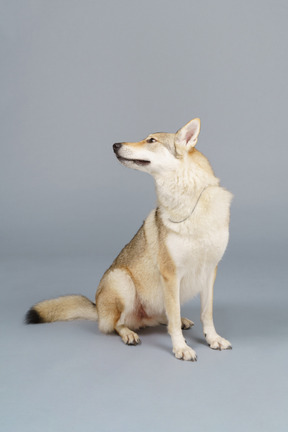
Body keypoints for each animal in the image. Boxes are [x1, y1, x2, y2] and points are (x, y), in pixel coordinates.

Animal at [25, 118, 233, 362]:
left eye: (151, 140)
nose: (115, 144)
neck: (189, 205)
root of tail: (98, 309)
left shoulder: (210, 271)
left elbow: (205, 313)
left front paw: (213, 339)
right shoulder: (170, 274)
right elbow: (172, 319)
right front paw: (181, 348)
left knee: (163, 317)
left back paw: (179, 321)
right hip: (122, 280)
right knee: (118, 324)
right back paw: (129, 334)